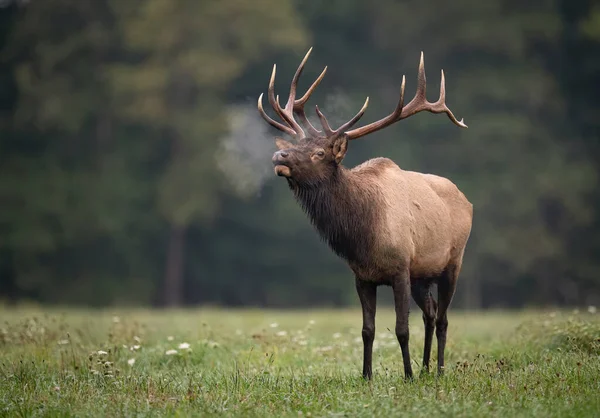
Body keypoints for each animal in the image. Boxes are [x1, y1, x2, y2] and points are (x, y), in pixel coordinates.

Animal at [258, 48, 474, 378]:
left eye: (319, 152)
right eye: (296, 143)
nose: (279, 155)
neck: (363, 236)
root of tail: (467, 200)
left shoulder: (400, 268)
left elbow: (401, 329)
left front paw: (407, 375)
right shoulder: (362, 276)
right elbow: (367, 330)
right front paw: (366, 376)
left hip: (453, 262)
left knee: (443, 319)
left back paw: (436, 370)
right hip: (423, 275)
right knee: (431, 313)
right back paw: (425, 367)